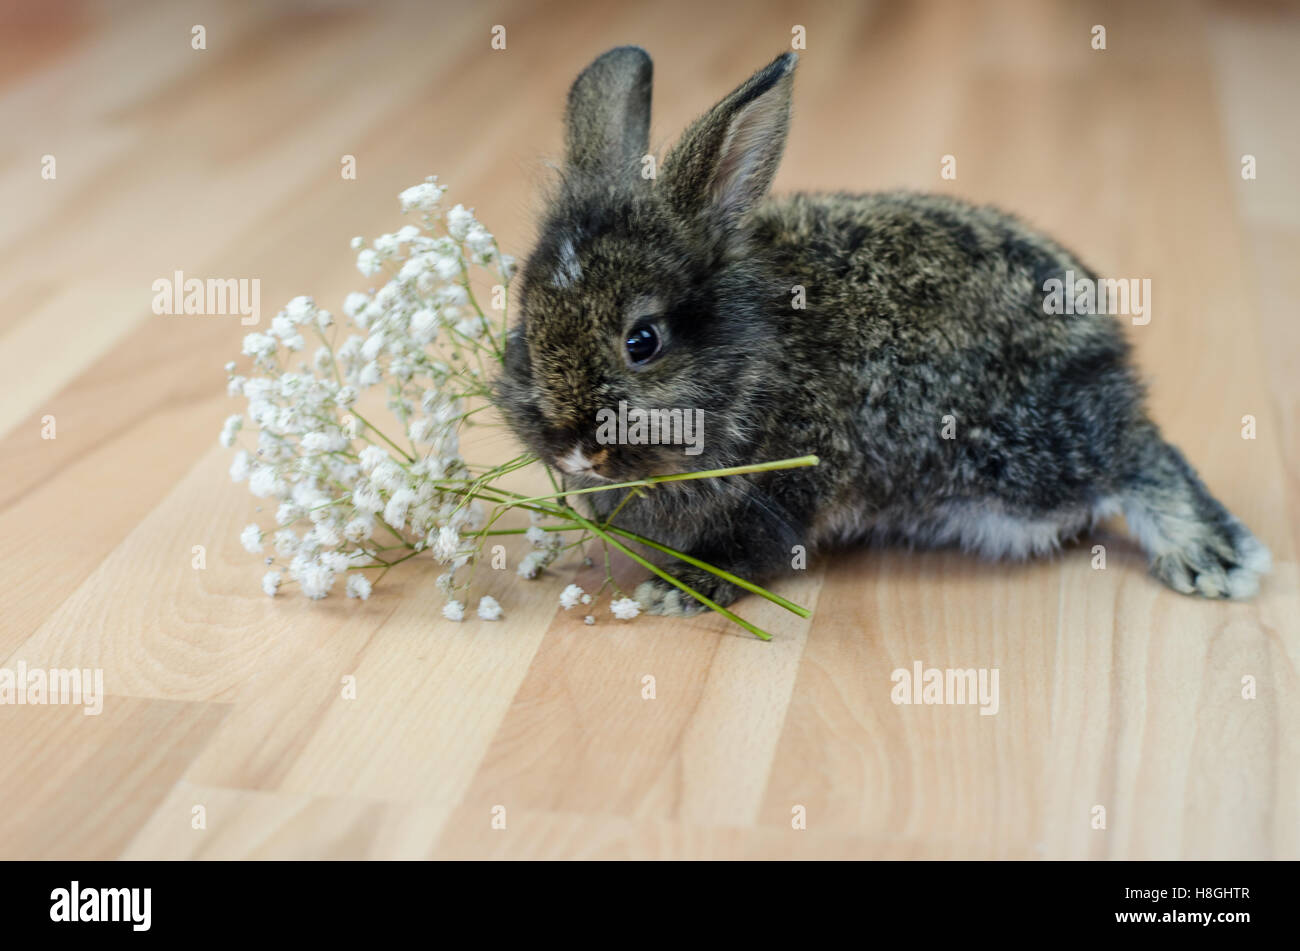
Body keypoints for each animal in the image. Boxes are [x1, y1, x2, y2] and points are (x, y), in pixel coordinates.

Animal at [495, 46, 1271, 616]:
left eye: (643, 341)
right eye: (524, 333)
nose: (575, 447)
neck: (749, 364)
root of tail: (1107, 347)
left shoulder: (789, 487)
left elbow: (752, 551)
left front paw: (678, 592)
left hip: (1020, 459)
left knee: (1140, 459)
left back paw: (1211, 557)